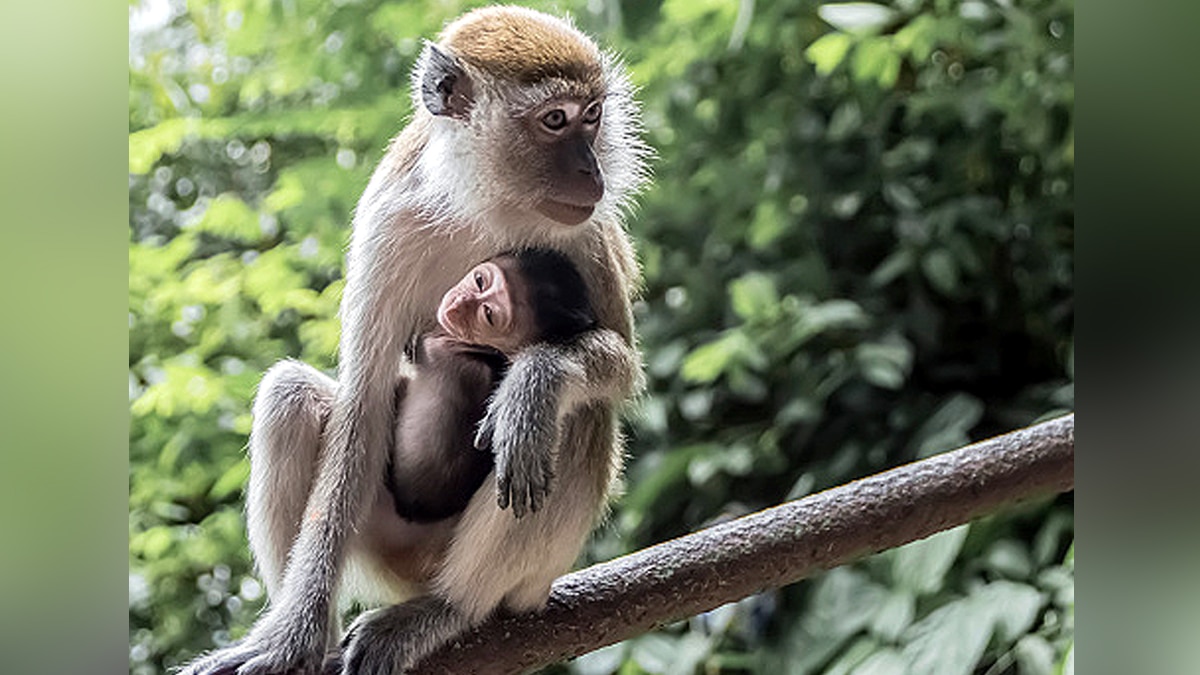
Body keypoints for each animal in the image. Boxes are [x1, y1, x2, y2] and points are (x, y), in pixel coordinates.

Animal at [179, 6, 647, 675]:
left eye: (593, 116)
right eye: (555, 120)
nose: (592, 170)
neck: (485, 202)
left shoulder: (589, 234)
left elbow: (621, 369)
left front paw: (535, 380)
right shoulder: (388, 219)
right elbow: (363, 402)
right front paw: (291, 636)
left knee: (578, 417)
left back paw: (449, 608)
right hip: (385, 547)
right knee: (290, 396)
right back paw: (319, 635)